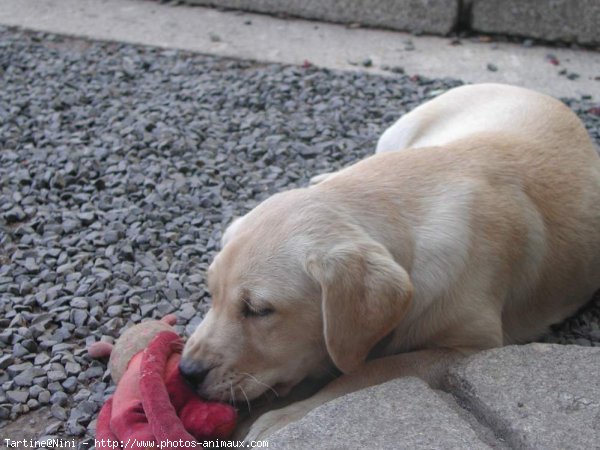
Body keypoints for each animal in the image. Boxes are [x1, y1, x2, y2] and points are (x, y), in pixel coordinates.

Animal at [179, 83, 600, 440]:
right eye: (211, 295)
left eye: (260, 310)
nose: (187, 372)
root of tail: (530, 89)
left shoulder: (470, 349)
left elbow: (370, 369)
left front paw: (284, 416)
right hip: (399, 132)